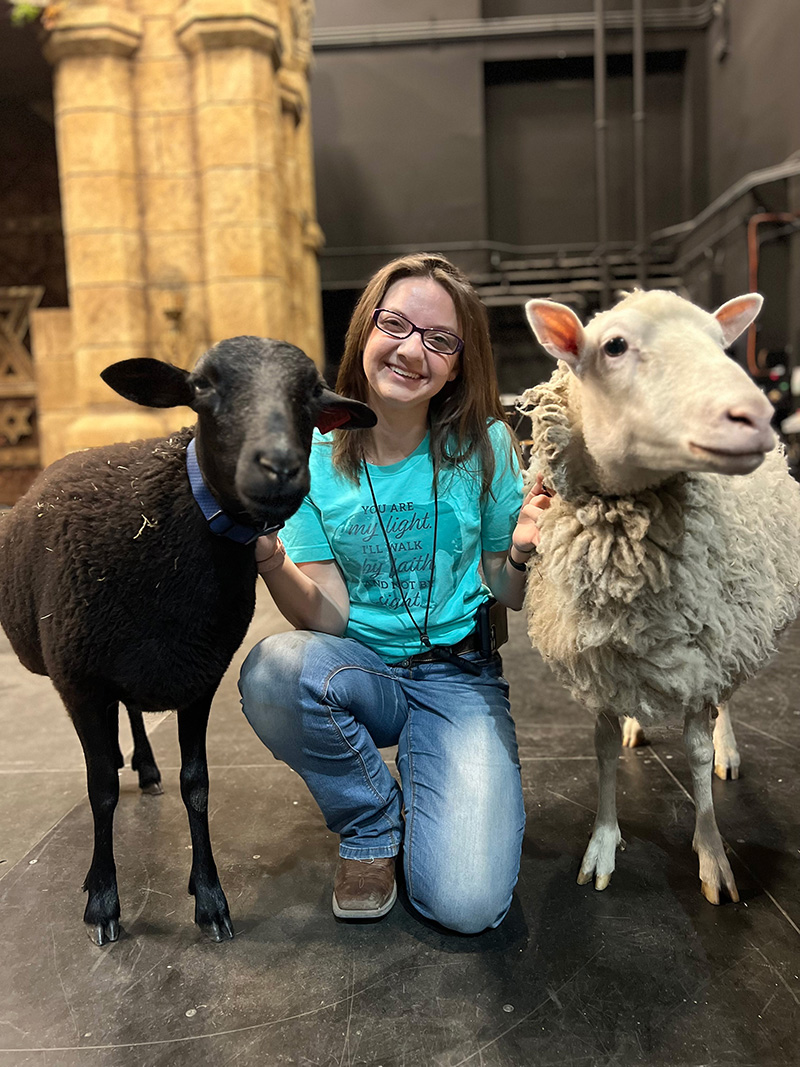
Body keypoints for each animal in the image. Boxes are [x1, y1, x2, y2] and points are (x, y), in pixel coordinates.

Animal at [0, 337, 375, 947]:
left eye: (315, 396)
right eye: (202, 388)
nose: (281, 468)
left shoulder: (199, 674)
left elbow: (196, 785)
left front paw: (210, 899)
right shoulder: (81, 680)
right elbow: (101, 789)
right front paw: (102, 900)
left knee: (133, 710)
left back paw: (146, 767)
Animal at [520, 292, 800, 909]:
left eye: (718, 343)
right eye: (614, 345)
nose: (755, 416)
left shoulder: (705, 652)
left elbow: (694, 754)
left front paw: (713, 854)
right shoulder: (596, 657)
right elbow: (601, 749)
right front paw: (602, 844)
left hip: (735, 631)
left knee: (725, 703)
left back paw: (728, 749)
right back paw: (637, 725)